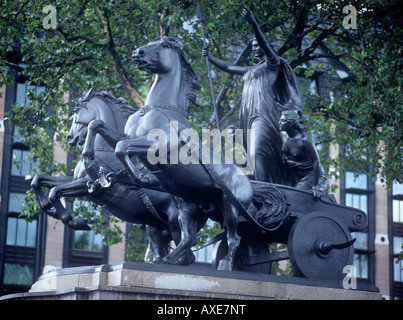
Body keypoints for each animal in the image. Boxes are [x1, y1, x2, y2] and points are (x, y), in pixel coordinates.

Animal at [83, 37, 254, 270]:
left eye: (162, 45)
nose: (137, 53)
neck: (159, 109)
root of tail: (248, 184)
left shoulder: (158, 147)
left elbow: (122, 148)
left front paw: (141, 177)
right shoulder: (125, 135)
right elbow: (97, 125)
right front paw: (93, 167)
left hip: (230, 206)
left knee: (233, 237)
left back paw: (225, 263)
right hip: (187, 206)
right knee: (189, 238)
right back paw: (169, 260)